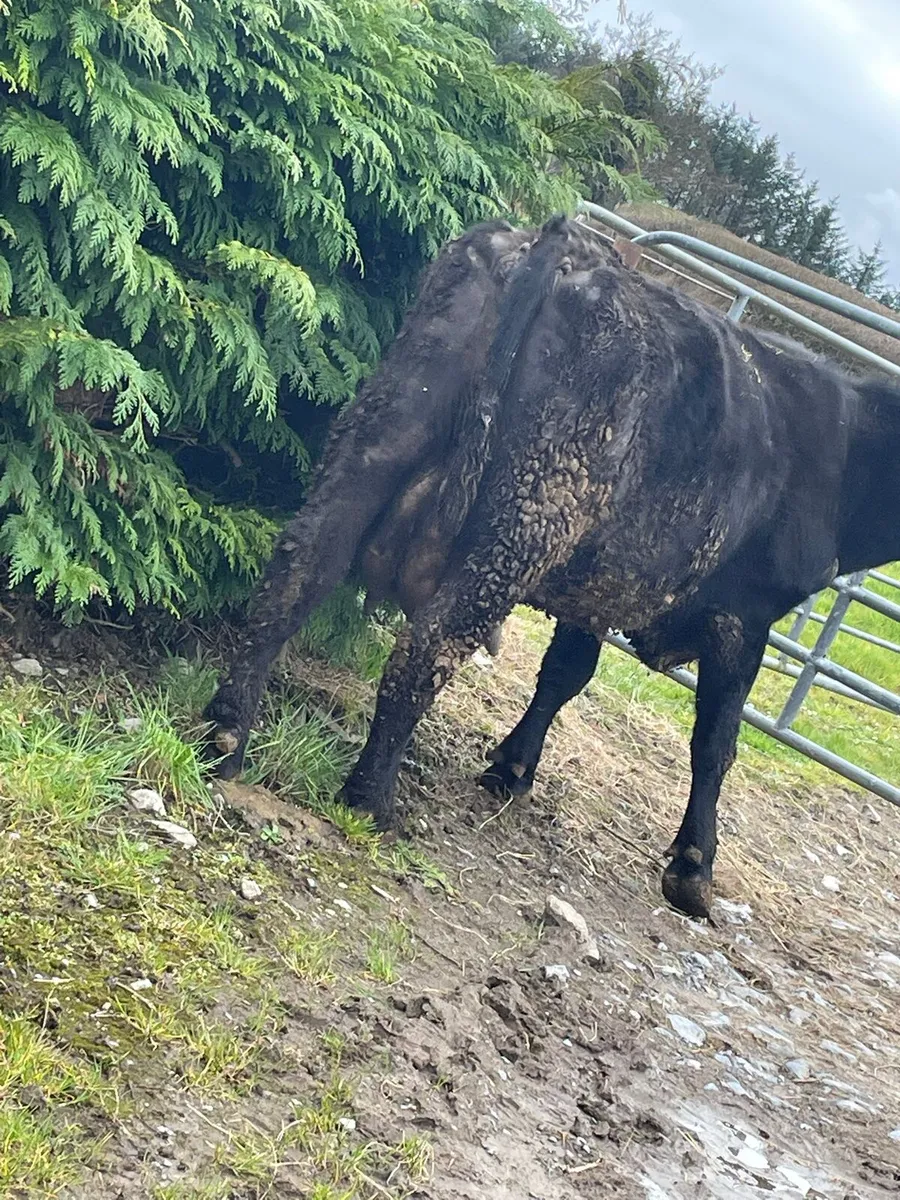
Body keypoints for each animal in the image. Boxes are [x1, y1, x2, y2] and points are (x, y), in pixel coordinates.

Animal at [205, 213, 900, 919]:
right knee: (425, 649)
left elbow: (566, 672)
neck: (845, 442)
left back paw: (225, 737)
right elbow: (715, 742)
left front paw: (511, 767)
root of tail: (557, 242)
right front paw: (693, 871)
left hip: (380, 435)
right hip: (527, 518)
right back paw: (371, 800)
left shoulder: (597, 577)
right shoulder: (745, 616)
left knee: (297, 574)